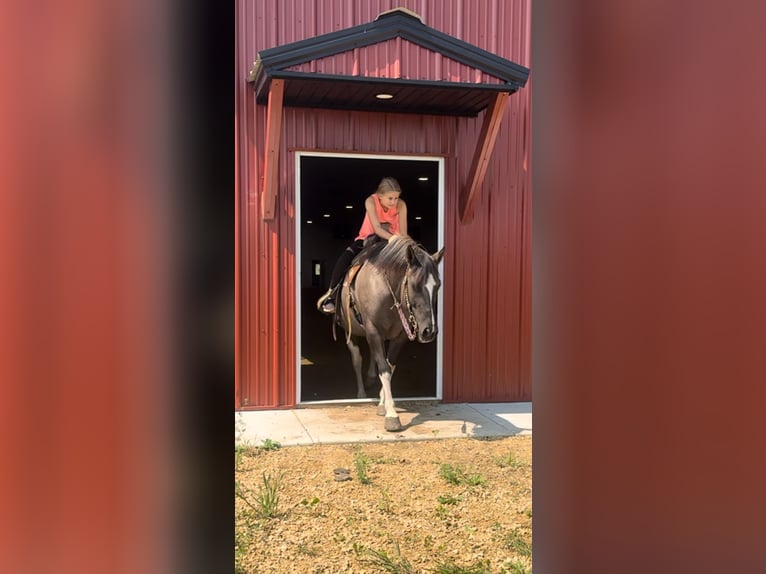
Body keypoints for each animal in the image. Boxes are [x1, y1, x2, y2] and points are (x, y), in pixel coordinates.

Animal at [332, 237, 448, 432]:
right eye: (414, 285)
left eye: (438, 285)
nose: (429, 331)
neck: (387, 292)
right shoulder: (373, 331)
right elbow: (384, 370)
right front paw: (392, 415)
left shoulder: (399, 337)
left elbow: (389, 367)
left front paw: (383, 404)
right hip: (351, 331)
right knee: (357, 359)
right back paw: (361, 392)